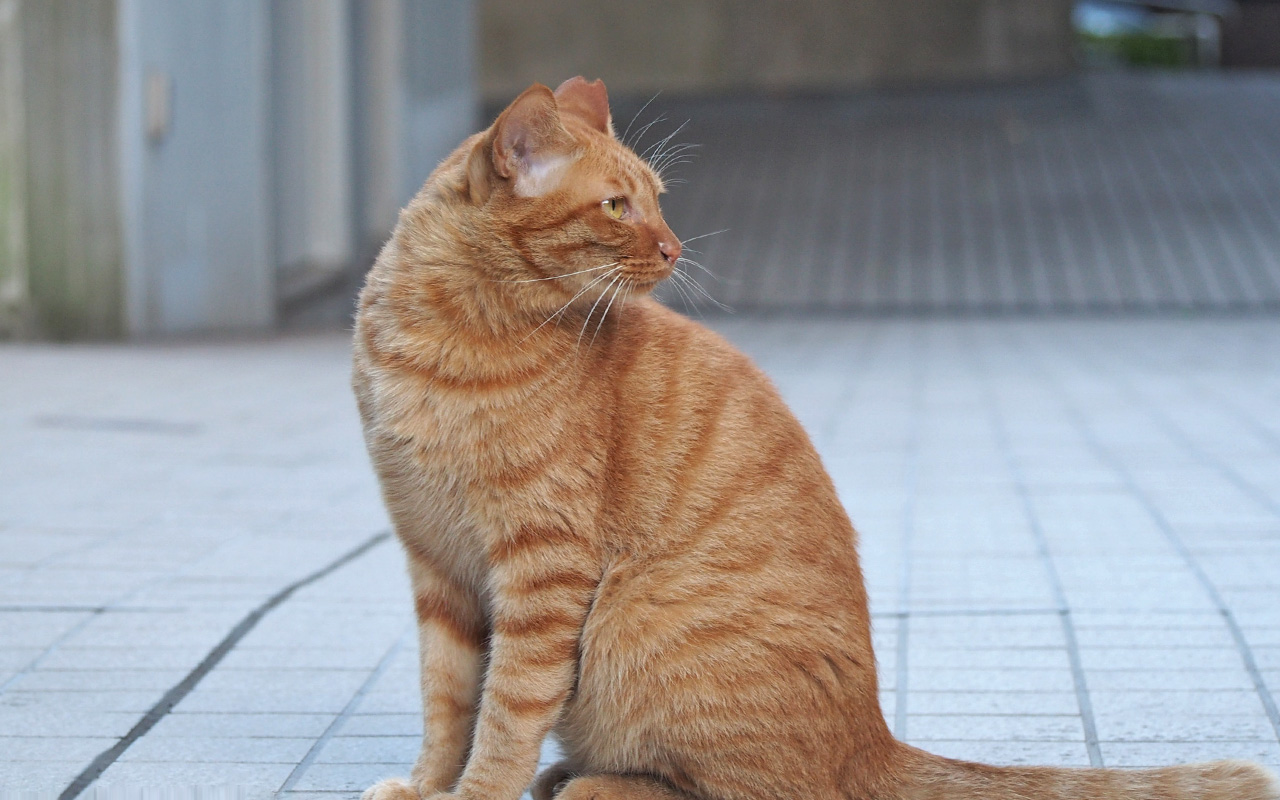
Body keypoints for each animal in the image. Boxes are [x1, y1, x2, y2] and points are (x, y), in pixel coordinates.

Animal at [353, 79, 1280, 798]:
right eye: (617, 206)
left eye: (658, 199)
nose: (675, 246)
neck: (445, 341)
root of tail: (871, 740)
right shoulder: (437, 568)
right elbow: (448, 702)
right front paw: (430, 785)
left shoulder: (540, 569)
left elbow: (506, 712)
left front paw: (477, 793)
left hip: (632, 621)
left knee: (733, 787)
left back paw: (591, 782)